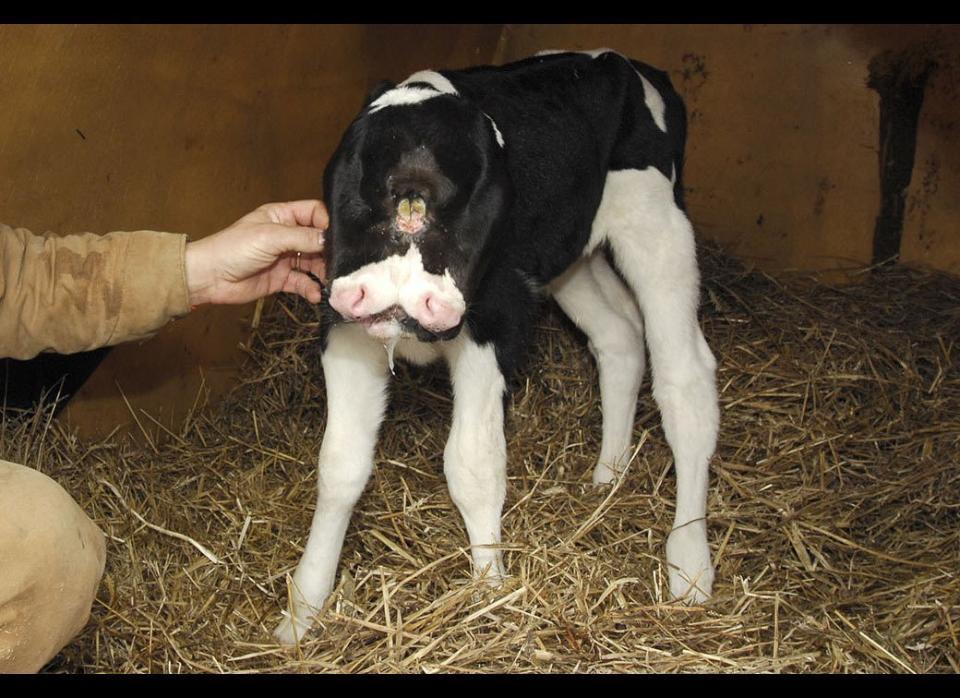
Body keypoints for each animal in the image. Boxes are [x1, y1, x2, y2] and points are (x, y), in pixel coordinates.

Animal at [274, 50, 716, 640]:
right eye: (358, 174)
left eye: (482, 186)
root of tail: (632, 64)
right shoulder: (345, 327)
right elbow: (340, 467)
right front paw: (302, 613)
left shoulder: (495, 322)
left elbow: (473, 464)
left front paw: (488, 596)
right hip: (567, 257)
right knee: (620, 336)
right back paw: (607, 476)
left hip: (656, 225)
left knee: (685, 379)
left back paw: (690, 564)